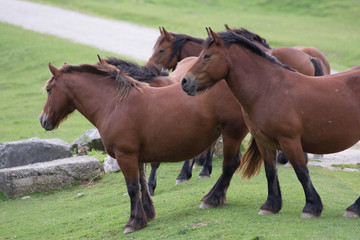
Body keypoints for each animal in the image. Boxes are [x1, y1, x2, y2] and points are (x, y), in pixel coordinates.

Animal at [39, 55, 248, 232]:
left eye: (49, 89)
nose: (43, 120)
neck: (114, 104)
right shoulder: (137, 157)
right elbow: (142, 185)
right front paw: (147, 214)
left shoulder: (125, 156)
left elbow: (132, 188)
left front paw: (134, 221)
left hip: (232, 133)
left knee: (229, 165)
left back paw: (211, 198)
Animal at [181, 28, 360, 219]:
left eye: (207, 56)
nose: (185, 81)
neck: (269, 90)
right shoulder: (264, 142)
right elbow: (270, 171)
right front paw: (271, 205)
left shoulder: (290, 141)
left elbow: (302, 172)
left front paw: (311, 207)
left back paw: (353, 208)